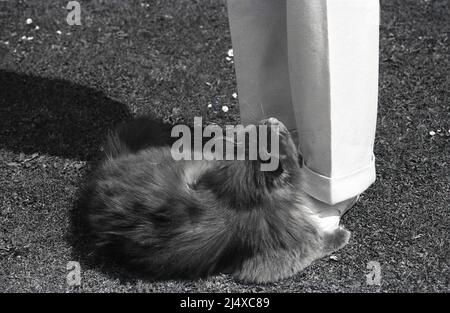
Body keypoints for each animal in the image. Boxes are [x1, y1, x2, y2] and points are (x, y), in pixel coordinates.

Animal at [81, 116, 352, 282]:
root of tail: (108, 166)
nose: (272, 119)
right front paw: (341, 234)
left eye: (260, 129)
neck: (242, 194)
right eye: (282, 133)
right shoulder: (285, 254)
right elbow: (321, 243)